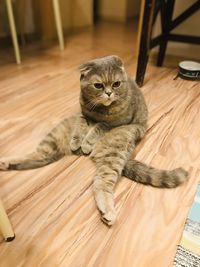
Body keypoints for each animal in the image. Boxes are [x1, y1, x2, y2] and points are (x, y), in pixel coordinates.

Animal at [0, 56, 188, 226]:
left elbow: (97, 128)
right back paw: (6, 162)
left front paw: (86, 143)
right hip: (54, 137)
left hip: (114, 151)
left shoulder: (113, 123)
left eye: (116, 84)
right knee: (37, 156)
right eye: (98, 85)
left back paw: (107, 211)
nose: (109, 93)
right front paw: (77, 141)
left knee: (100, 183)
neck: (99, 110)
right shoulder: (83, 115)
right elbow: (82, 126)